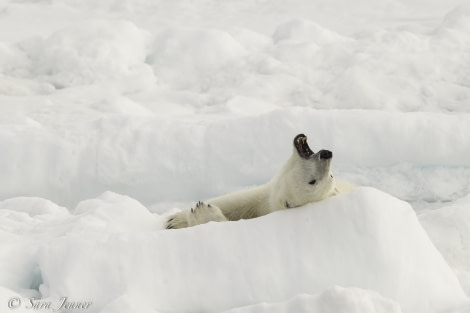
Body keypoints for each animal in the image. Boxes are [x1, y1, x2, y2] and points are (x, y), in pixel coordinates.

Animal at [166, 133, 352, 228]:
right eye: (332, 176)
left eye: (313, 182)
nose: (326, 154)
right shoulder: (263, 195)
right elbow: (237, 200)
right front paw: (174, 220)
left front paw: (201, 213)